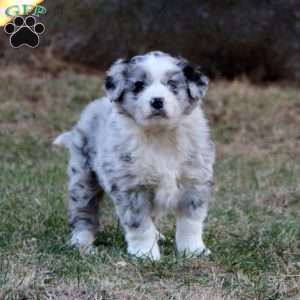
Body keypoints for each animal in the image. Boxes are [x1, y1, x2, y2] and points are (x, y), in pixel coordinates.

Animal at [53, 51, 213, 260]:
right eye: (138, 85)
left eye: (172, 84)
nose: (157, 101)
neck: (160, 135)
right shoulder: (132, 186)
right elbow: (140, 224)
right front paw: (146, 254)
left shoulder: (194, 181)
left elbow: (190, 222)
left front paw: (194, 250)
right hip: (83, 177)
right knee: (83, 212)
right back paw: (81, 242)